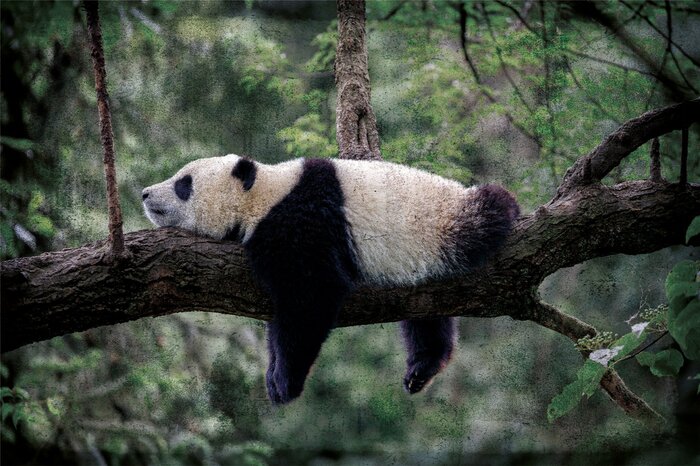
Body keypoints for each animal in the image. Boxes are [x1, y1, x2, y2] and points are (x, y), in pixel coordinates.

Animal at [142, 154, 519, 404]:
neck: (265, 194)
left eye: (183, 184)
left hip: (444, 224)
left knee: (488, 212)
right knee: (426, 315)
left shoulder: (302, 223)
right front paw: (272, 375)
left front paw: (285, 382)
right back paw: (422, 368)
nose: (145, 193)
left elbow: (311, 296)